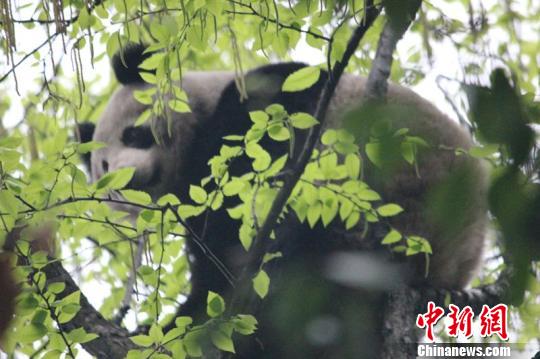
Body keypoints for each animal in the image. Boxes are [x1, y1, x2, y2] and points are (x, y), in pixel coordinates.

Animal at [79, 43, 486, 358]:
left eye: (134, 135)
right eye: (105, 170)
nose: (129, 179)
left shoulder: (268, 100)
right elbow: (214, 261)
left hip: (390, 204)